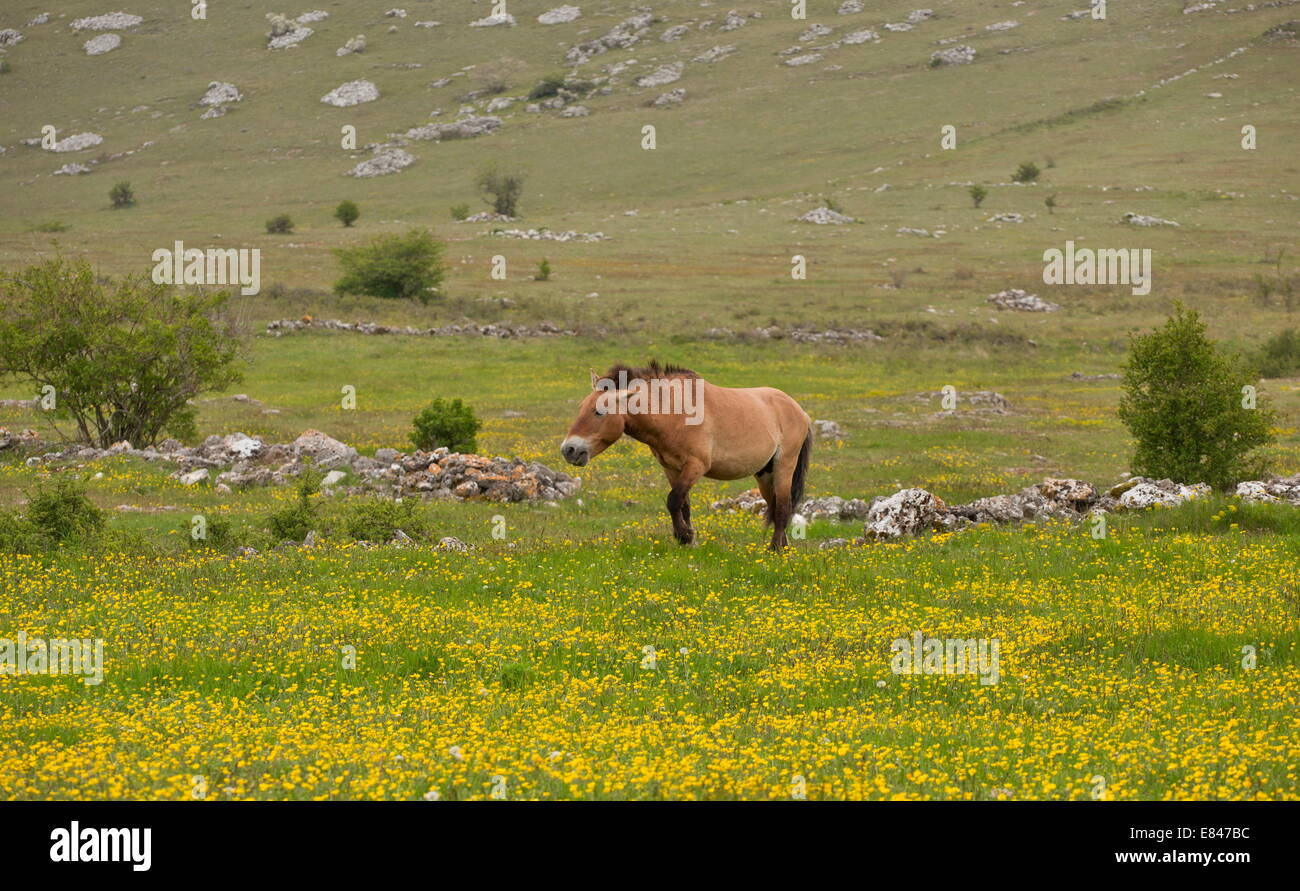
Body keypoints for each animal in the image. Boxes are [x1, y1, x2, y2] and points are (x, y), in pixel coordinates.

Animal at [561, 361, 811, 548]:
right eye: (581, 408)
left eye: (599, 411)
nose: (568, 450)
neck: (675, 413)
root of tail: (799, 410)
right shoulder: (671, 468)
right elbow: (683, 504)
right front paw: (687, 539)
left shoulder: (696, 466)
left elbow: (673, 500)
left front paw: (684, 535)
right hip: (764, 474)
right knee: (775, 506)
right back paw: (783, 546)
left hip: (784, 466)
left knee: (783, 507)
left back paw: (775, 549)